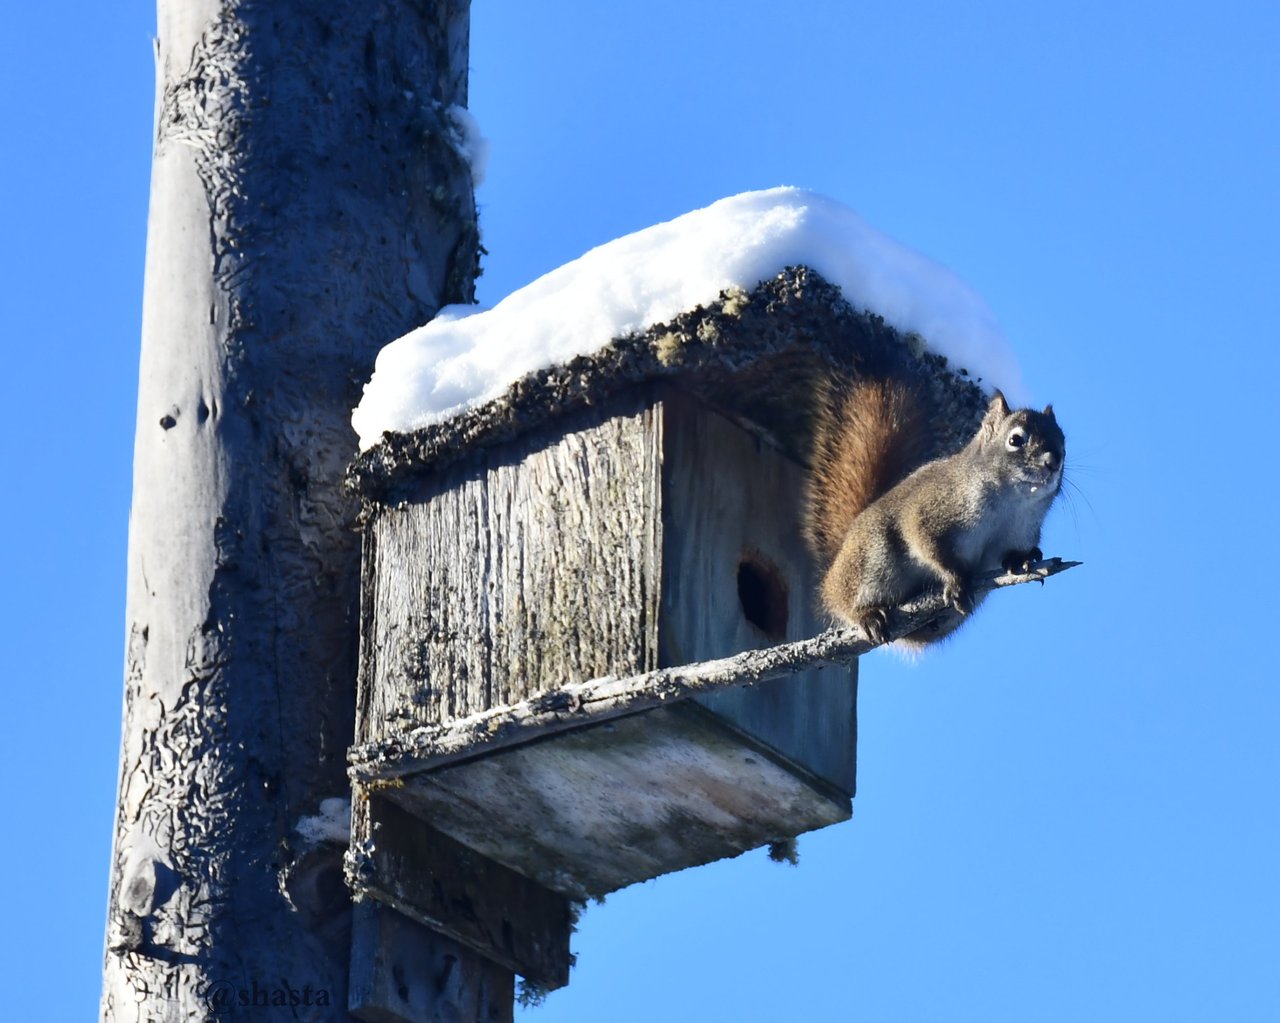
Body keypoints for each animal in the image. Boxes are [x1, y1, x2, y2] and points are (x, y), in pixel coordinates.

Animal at [803, 376, 1064, 647]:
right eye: (1016, 440)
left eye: (1063, 441)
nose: (1053, 462)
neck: (1009, 505)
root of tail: (836, 564)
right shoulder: (928, 512)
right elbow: (928, 545)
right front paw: (955, 580)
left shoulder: (1019, 533)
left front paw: (1021, 561)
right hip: (871, 561)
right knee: (844, 602)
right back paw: (867, 615)